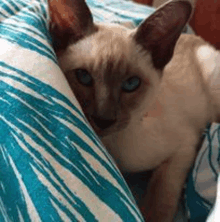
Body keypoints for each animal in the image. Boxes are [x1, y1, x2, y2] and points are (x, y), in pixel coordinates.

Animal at [49, 0, 220, 221]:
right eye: (83, 77)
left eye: (131, 84)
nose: (103, 119)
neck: (113, 147)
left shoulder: (185, 146)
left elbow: (160, 199)